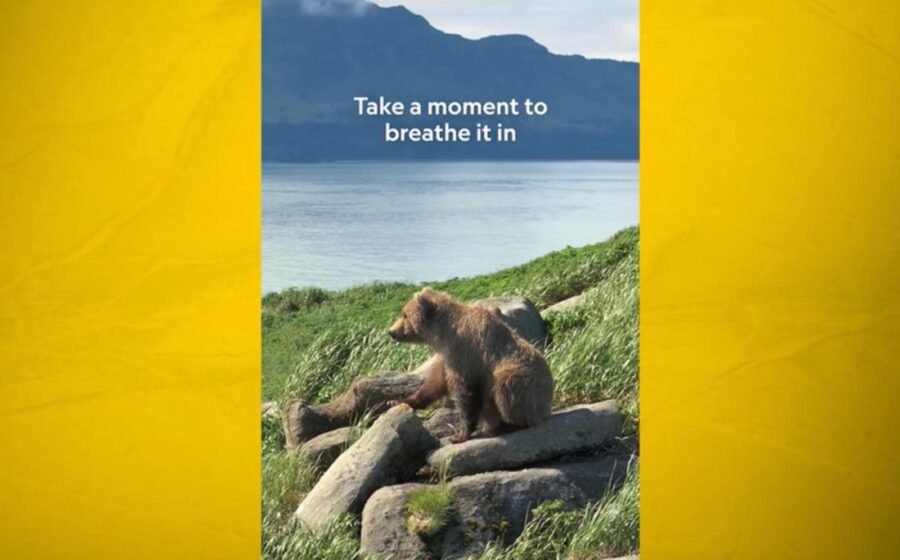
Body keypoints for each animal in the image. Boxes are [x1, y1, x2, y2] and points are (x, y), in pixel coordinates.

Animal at [387, 287, 554, 443]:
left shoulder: (464, 352)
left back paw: (506, 425)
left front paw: (460, 434)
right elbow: (435, 383)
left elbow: (464, 391)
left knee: (505, 388)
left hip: (525, 383)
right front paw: (398, 401)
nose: (391, 331)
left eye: (404, 315)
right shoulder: (447, 356)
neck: (443, 333)